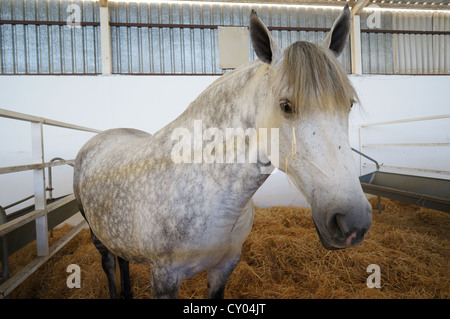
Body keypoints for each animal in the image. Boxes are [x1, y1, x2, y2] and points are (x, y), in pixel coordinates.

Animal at [74, 5, 370, 300]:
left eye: (349, 105)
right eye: (286, 106)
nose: (352, 221)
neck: (209, 188)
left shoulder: (224, 266)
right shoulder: (164, 278)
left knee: (122, 259)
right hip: (97, 236)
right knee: (110, 263)